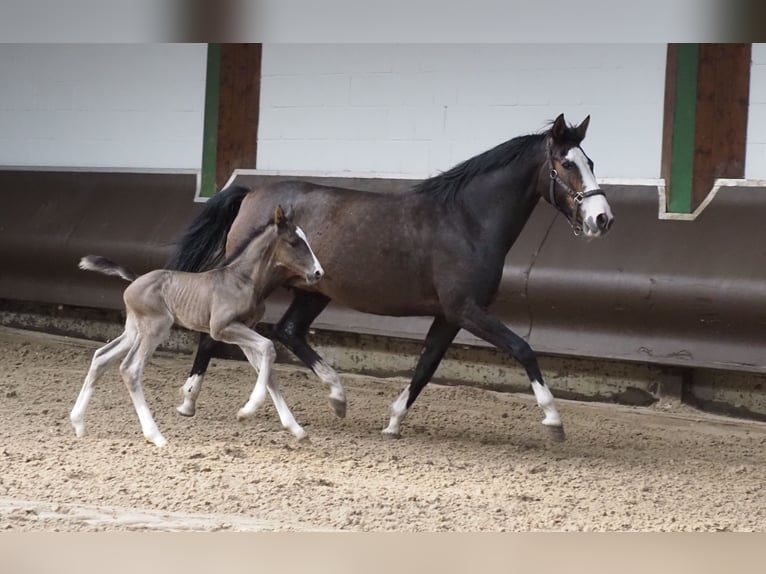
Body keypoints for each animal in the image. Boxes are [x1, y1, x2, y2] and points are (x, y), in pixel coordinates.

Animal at [70, 207, 324, 450]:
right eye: (294, 242)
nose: (318, 273)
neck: (244, 280)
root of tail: (135, 280)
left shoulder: (244, 329)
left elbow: (268, 370)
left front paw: (297, 430)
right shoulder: (221, 328)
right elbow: (269, 346)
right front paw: (247, 411)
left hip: (134, 330)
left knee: (101, 357)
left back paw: (78, 423)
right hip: (155, 328)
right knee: (130, 369)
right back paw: (156, 436)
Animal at [170, 115, 616, 444]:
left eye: (591, 162)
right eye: (566, 164)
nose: (602, 219)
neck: (467, 220)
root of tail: (251, 194)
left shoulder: (450, 316)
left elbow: (426, 365)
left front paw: (393, 422)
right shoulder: (467, 309)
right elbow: (523, 349)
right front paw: (554, 421)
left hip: (314, 290)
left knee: (289, 330)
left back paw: (337, 395)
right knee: (220, 333)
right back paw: (188, 401)